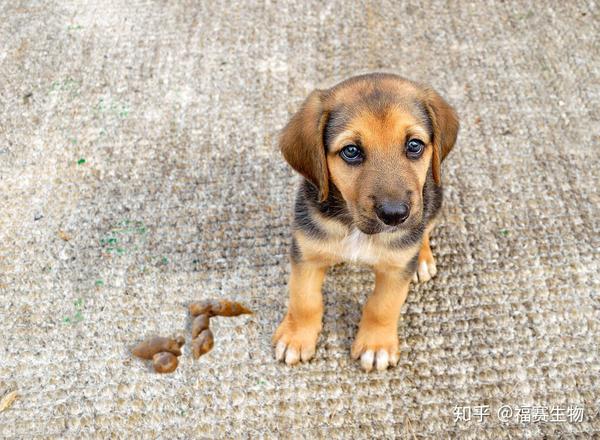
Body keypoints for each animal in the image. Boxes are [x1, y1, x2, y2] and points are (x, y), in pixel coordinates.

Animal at [274, 72, 460, 372]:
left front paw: (376, 345)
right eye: (351, 151)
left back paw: (422, 259)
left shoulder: (396, 270)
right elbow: (304, 300)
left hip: (434, 200)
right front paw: (296, 337)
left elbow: (382, 306)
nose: (395, 215)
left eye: (414, 145)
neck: (355, 228)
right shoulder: (306, 254)